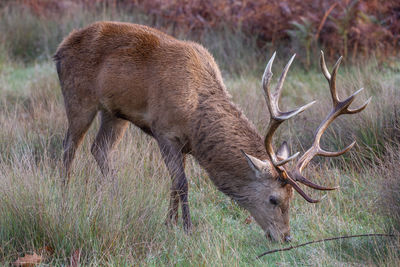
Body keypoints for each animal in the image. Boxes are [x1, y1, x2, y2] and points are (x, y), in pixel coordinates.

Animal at [54, 21, 370, 243]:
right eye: (273, 199)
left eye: (292, 199)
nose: (286, 237)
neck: (195, 119)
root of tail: (60, 49)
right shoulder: (164, 130)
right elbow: (181, 182)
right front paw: (186, 228)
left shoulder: (182, 143)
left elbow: (173, 183)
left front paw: (168, 223)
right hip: (79, 96)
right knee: (68, 148)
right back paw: (64, 199)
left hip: (114, 112)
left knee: (99, 149)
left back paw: (116, 198)